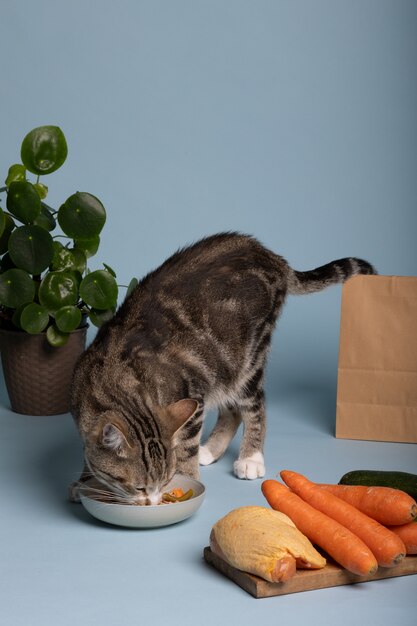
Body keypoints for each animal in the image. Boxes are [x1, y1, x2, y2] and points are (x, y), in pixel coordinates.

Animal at [70, 233, 376, 502]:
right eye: (139, 487)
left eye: (164, 481)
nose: (154, 499)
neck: (115, 377)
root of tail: (272, 257)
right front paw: (83, 481)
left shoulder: (191, 392)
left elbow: (186, 448)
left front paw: (188, 480)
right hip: (222, 365)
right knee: (232, 408)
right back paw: (210, 451)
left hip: (247, 357)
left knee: (254, 405)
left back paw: (250, 457)